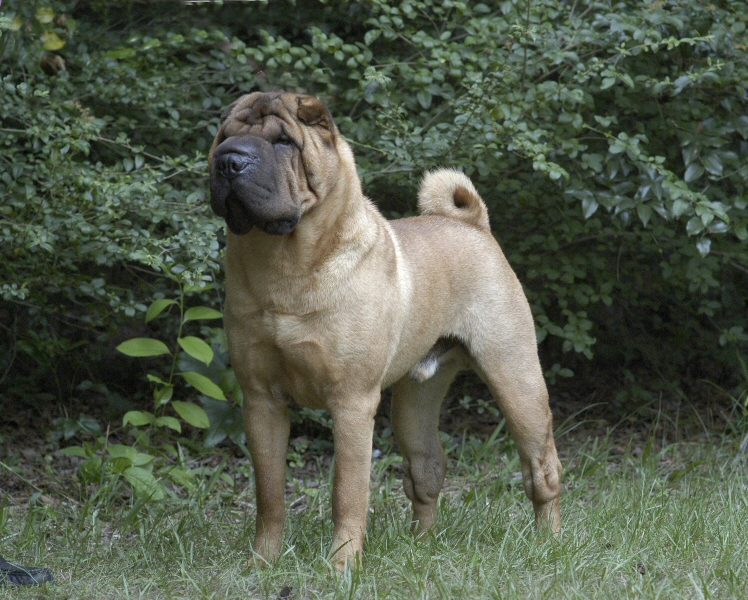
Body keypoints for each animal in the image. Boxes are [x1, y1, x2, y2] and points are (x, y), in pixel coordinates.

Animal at [208, 92, 562, 569]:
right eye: (224, 137)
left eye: (284, 142)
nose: (229, 161)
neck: (284, 263)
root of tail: (472, 224)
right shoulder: (261, 399)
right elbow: (270, 494)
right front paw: (263, 561)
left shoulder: (352, 402)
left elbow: (348, 492)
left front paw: (342, 566)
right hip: (414, 403)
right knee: (426, 470)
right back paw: (421, 545)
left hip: (515, 378)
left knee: (541, 468)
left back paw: (551, 543)